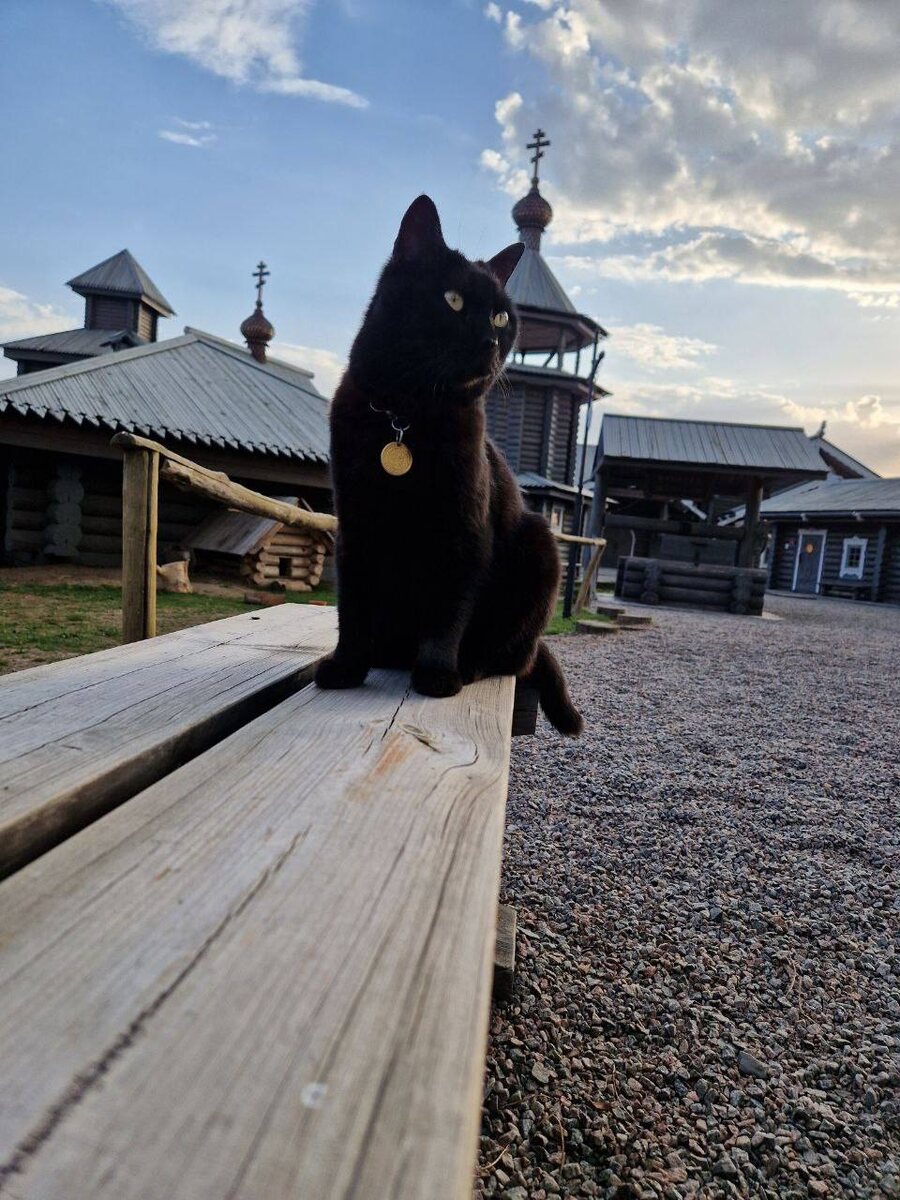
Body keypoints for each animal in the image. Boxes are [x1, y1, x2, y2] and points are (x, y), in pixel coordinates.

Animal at [314, 194, 583, 736]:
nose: (490, 342)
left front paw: (437, 674)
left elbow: (448, 609)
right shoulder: (356, 525)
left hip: (540, 546)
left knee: (513, 655)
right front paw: (347, 665)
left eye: (501, 318)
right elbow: (353, 607)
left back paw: (467, 665)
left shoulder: (463, 530)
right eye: (453, 300)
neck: (405, 414)